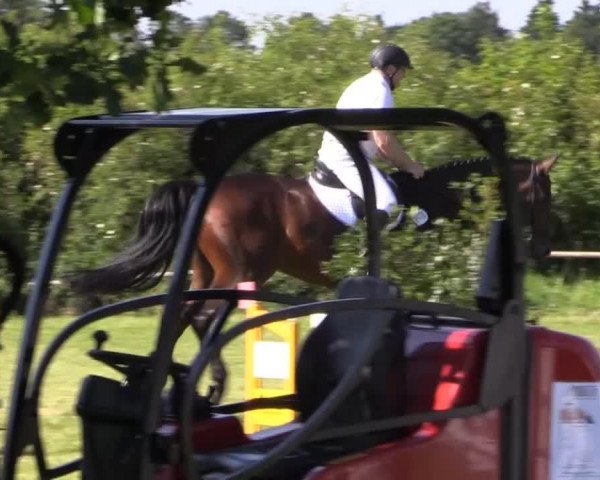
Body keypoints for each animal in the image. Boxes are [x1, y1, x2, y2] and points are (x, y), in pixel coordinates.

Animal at [74, 155, 556, 402]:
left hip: (206, 270)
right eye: (543, 194)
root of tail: (201, 192)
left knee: (181, 314)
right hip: (241, 270)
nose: (543, 249)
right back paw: (212, 384)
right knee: (205, 317)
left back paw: (157, 379)